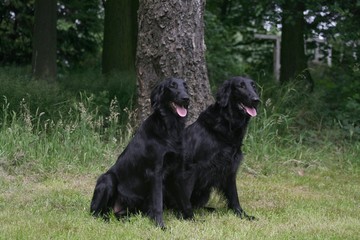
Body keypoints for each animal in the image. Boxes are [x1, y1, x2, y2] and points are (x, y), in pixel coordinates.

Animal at [89, 77, 191, 229]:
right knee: (96, 213)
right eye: (172, 86)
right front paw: (160, 225)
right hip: (107, 179)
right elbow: (158, 203)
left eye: (186, 87)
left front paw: (191, 218)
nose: (186, 98)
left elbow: (184, 199)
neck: (170, 128)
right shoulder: (155, 172)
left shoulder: (178, 171)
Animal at [180, 76, 258, 219]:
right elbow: (185, 197)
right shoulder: (191, 168)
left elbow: (234, 196)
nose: (256, 100)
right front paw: (189, 217)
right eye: (240, 86)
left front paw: (242, 214)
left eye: (253, 86)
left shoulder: (230, 168)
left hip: (205, 192)